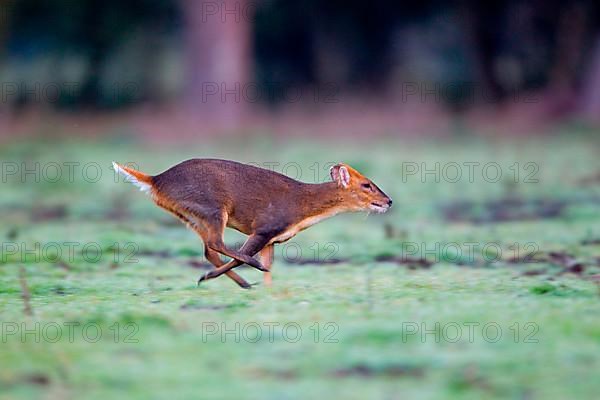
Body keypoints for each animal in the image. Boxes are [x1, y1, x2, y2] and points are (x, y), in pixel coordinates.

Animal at [113, 159, 394, 288]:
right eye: (366, 184)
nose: (389, 200)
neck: (302, 208)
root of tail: (155, 180)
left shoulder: (273, 239)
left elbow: (270, 266)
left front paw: (268, 289)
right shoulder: (264, 227)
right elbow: (248, 255)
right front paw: (255, 271)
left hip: (191, 217)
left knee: (208, 249)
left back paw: (242, 281)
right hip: (213, 208)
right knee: (217, 244)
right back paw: (238, 274)